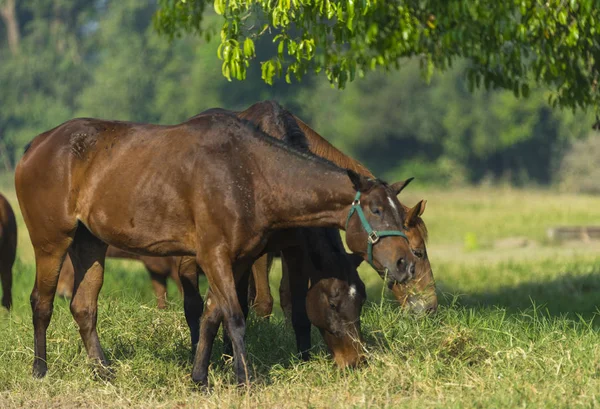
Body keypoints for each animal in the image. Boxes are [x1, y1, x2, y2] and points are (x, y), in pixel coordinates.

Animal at [15, 110, 418, 384]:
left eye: (360, 298)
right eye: (377, 210)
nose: (405, 264)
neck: (250, 173)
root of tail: (36, 144)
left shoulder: (236, 260)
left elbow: (213, 315)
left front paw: (201, 377)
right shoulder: (214, 256)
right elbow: (235, 317)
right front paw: (246, 379)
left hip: (90, 244)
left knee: (84, 307)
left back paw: (103, 371)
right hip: (51, 242)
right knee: (42, 302)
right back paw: (40, 369)